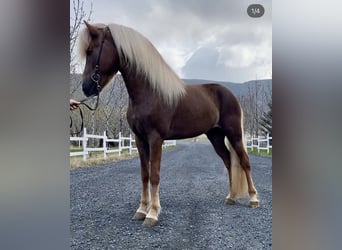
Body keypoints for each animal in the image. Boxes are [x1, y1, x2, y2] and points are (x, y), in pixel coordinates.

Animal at [78, 22, 260, 227]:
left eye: (90, 51)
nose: (86, 87)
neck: (149, 92)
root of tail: (229, 94)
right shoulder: (140, 140)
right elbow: (144, 175)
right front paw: (141, 210)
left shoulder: (156, 139)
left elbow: (155, 175)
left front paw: (152, 213)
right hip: (216, 136)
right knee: (228, 161)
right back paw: (231, 197)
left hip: (234, 134)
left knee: (244, 162)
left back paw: (253, 199)